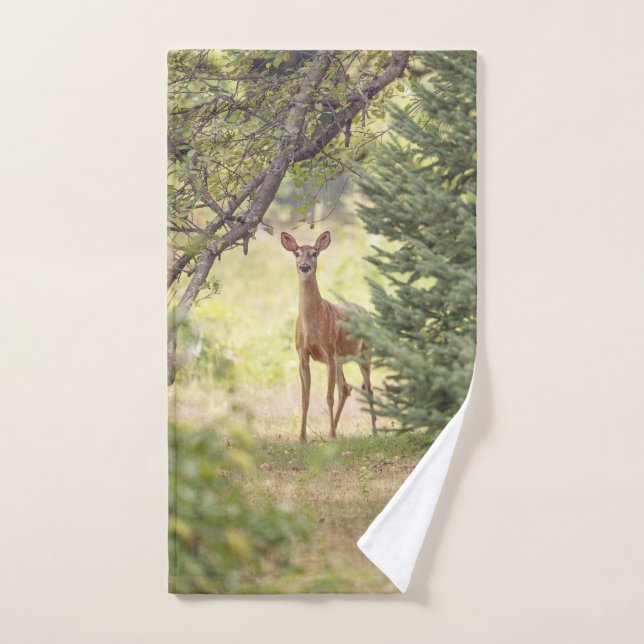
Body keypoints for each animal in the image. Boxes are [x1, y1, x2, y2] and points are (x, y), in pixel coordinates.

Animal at [281, 230, 376, 443]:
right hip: (341, 360)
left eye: (315, 253)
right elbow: (305, 398)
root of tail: (366, 311)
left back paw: (373, 431)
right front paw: (302, 438)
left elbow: (328, 397)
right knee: (346, 388)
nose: (305, 267)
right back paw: (333, 430)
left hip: (364, 353)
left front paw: (331, 435)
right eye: (296, 253)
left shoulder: (330, 351)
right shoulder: (302, 354)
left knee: (368, 389)